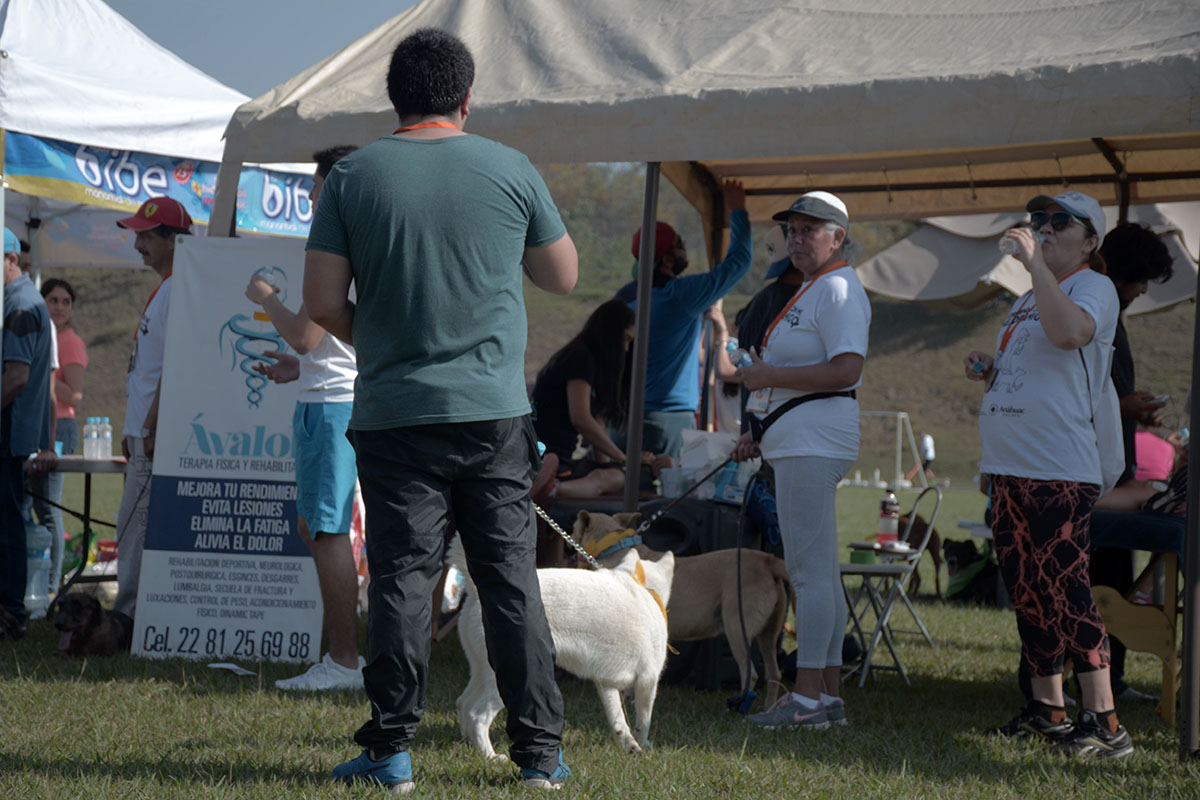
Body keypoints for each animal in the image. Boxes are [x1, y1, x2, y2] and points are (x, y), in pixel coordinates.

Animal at [451, 537, 676, 758]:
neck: (642, 587)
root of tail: (477, 591)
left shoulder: (606, 684)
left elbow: (618, 721)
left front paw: (629, 746)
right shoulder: (648, 681)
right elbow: (643, 722)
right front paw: (644, 745)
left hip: (481, 672)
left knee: (463, 703)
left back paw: (469, 744)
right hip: (504, 680)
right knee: (477, 715)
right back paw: (491, 757)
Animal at [576, 513, 792, 705]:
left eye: (573, 526)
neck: (611, 547)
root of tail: (767, 560)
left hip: (737, 628)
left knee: (751, 675)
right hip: (769, 633)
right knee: (774, 673)